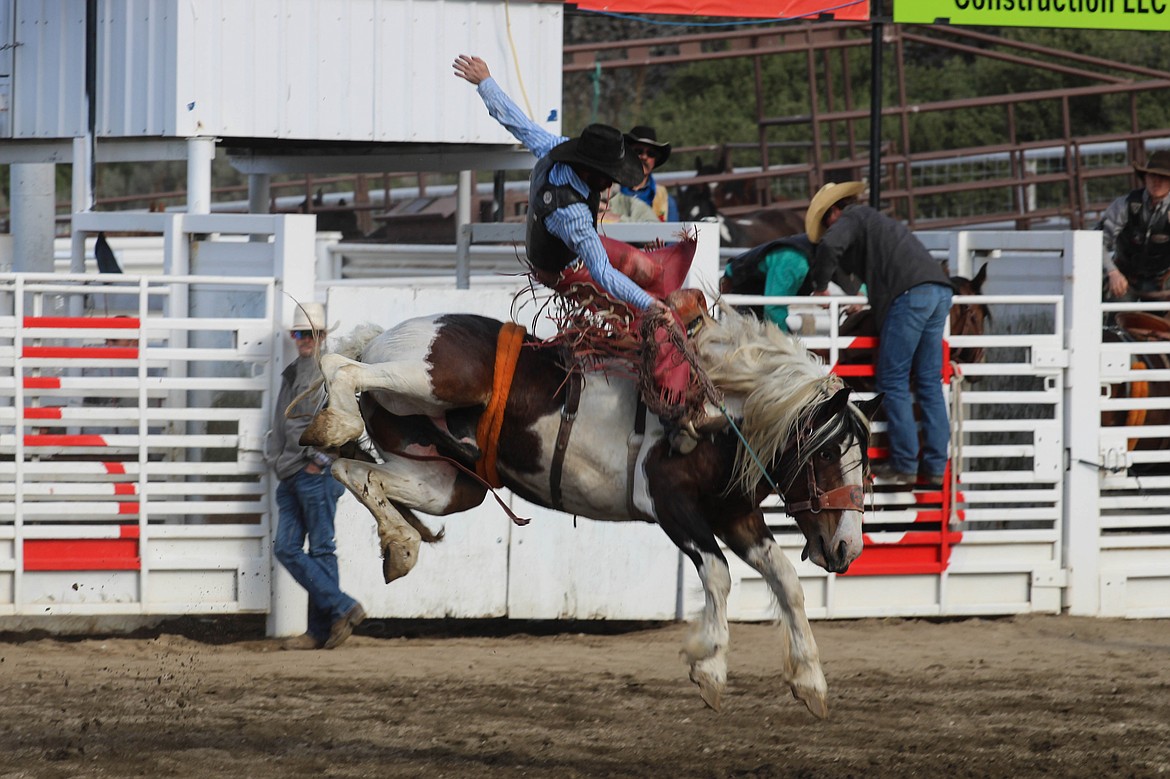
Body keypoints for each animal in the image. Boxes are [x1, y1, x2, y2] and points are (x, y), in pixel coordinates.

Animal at [299, 304, 879, 715]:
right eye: (827, 452)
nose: (847, 546)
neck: (723, 412)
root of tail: (379, 337)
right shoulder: (673, 506)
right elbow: (717, 575)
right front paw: (710, 667)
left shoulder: (735, 516)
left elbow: (786, 582)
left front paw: (810, 681)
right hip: (435, 379)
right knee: (339, 368)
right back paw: (334, 423)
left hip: (445, 482)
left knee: (357, 472)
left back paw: (400, 544)